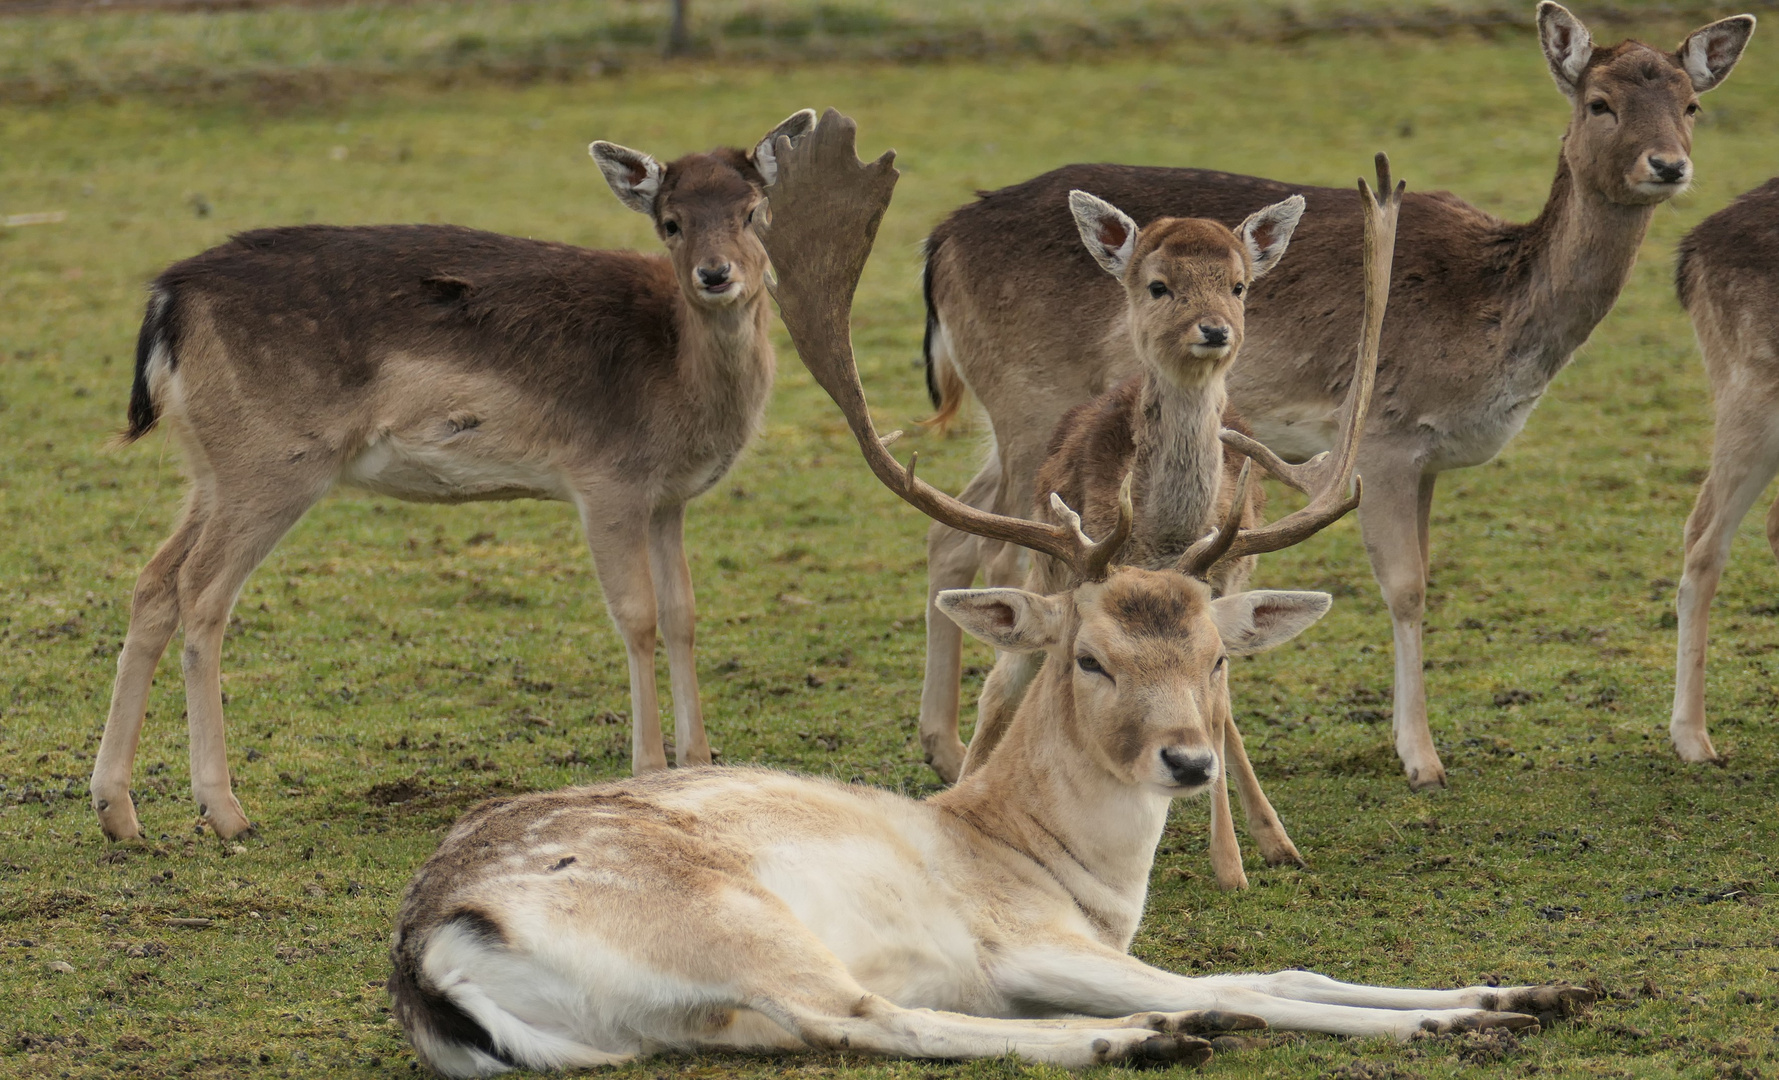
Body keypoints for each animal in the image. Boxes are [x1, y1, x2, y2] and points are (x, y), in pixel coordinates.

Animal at [90, 109, 818, 846]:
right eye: (669, 221)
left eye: (754, 212)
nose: (715, 273)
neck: (680, 381)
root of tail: (168, 299)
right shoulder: (607, 480)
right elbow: (637, 617)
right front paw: (648, 771)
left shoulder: (668, 500)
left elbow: (683, 615)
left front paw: (699, 764)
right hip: (272, 460)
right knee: (202, 590)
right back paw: (224, 810)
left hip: (212, 468)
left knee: (153, 582)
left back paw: (118, 811)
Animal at [382, 112, 1593, 1080]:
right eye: (1088, 656)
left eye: (1213, 658)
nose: (1187, 761)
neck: (1065, 872)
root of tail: (433, 946)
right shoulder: (1030, 942)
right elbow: (1258, 980)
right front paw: (1460, 1015)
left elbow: (1292, 971)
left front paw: (1532, 989)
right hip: (732, 923)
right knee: (873, 1016)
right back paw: (1147, 1037)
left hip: (681, 1018)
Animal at [917, 0, 1750, 793]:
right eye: (1599, 102)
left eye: (1690, 103)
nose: (1667, 165)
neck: (1493, 320)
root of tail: (938, 240)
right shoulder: (1382, 433)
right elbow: (1405, 587)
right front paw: (1420, 758)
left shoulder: (1430, 458)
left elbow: (1424, 576)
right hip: (1027, 400)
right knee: (996, 549)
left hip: (1015, 415)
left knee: (952, 531)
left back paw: (944, 748)